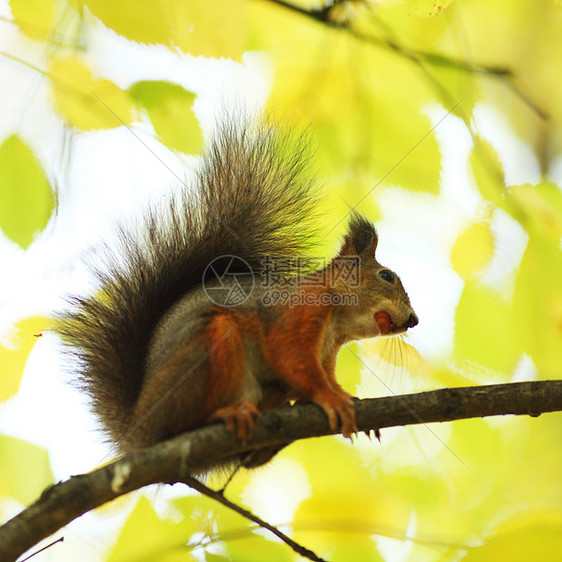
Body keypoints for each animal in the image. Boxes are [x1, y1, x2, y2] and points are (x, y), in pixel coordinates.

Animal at [55, 120, 416, 466]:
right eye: (386, 276)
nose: (413, 320)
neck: (337, 322)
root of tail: (139, 434)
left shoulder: (327, 354)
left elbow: (323, 375)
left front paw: (347, 397)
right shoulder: (294, 314)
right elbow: (294, 360)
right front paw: (332, 398)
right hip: (203, 355)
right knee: (182, 424)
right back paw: (224, 414)